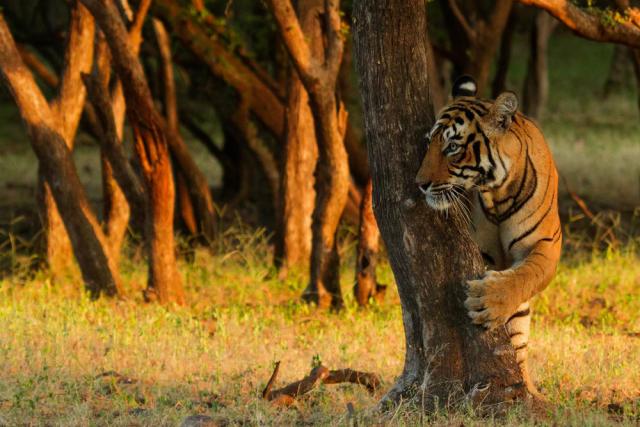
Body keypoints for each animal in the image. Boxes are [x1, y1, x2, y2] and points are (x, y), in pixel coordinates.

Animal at [414, 75, 562, 396]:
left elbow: (525, 275)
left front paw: (487, 301)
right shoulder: (482, 251)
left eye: (452, 146)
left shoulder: (546, 244)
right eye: (429, 143)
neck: (498, 192)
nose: (420, 184)